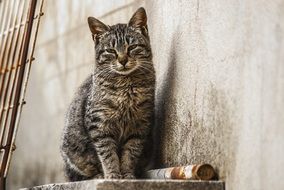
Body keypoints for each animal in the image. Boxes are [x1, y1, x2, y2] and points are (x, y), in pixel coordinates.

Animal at [60, 6, 156, 180]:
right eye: (111, 51)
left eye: (132, 47)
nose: (123, 60)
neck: (126, 86)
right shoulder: (99, 126)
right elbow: (108, 154)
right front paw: (112, 175)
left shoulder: (139, 126)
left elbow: (130, 154)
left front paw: (127, 175)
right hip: (72, 151)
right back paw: (98, 175)